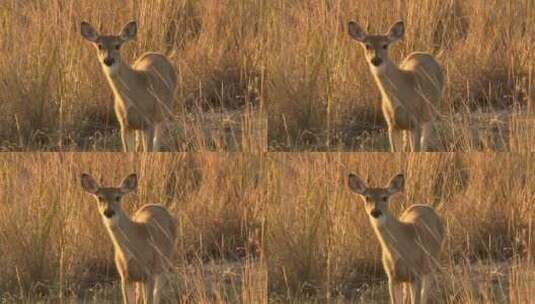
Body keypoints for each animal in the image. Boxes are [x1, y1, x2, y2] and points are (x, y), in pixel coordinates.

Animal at [80, 20, 176, 151]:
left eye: (117, 46)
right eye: (100, 45)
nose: (108, 60)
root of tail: (156, 53)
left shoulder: (149, 121)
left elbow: (148, 150)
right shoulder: (124, 125)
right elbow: (129, 151)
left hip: (164, 112)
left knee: (157, 142)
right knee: (139, 142)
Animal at [80, 173, 176, 304]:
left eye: (117, 197)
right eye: (100, 198)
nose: (108, 211)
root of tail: (157, 205)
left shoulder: (149, 273)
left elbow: (149, 299)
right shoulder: (124, 276)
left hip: (165, 262)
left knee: (158, 293)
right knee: (139, 294)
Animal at [348, 20, 444, 151]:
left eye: (385, 45)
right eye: (367, 45)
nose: (376, 59)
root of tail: (424, 53)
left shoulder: (416, 121)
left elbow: (416, 150)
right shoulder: (391, 125)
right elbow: (395, 151)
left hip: (431, 111)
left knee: (424, 142)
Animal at [348, 173, 444, 304]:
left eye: (384, 198)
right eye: (367, 198)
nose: (375, 211)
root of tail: (424, 205)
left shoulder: (417, 274)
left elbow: (417, 300)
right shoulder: (392, 277)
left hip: (431, 265)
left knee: (425, 293)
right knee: (406, 294)